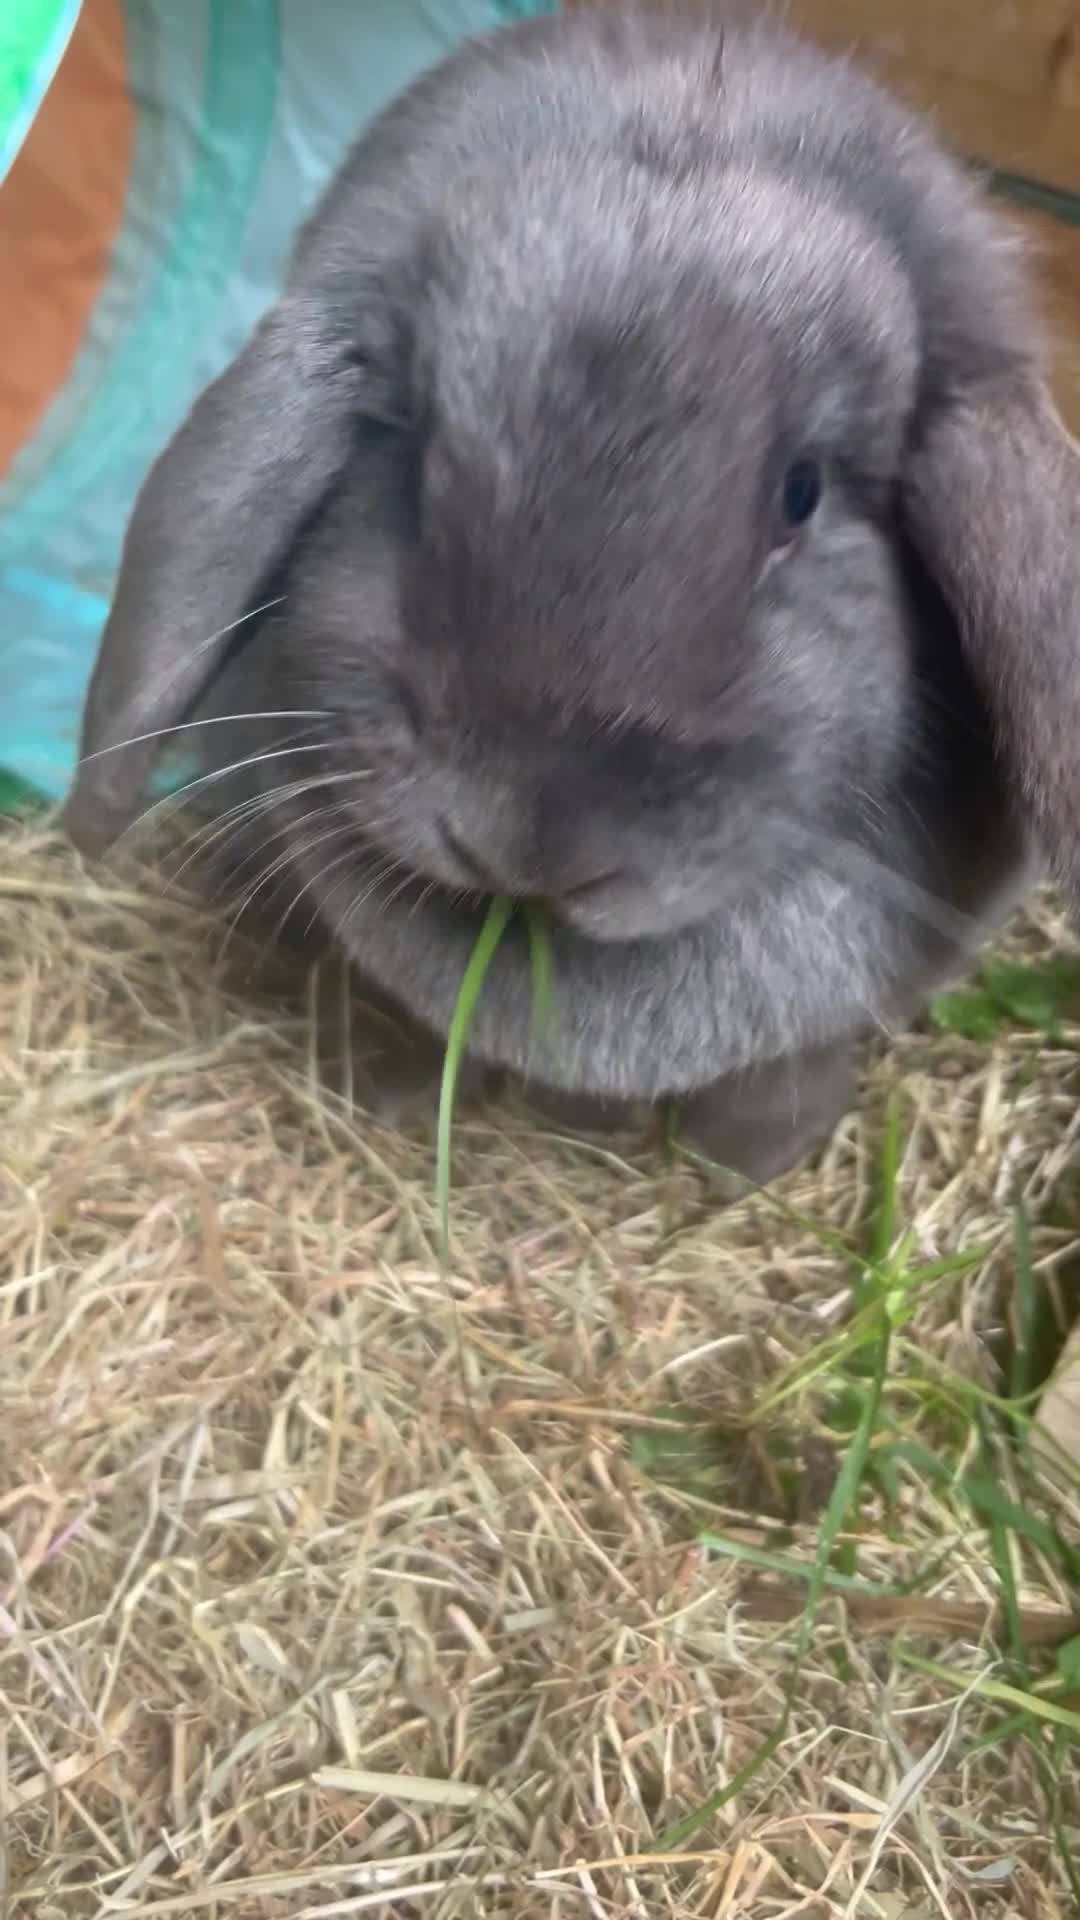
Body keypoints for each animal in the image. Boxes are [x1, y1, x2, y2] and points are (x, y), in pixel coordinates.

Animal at [63, 5, 1080, 1184]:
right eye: (411, 456)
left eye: (802, 494)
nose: (528, 841)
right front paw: (391, 1094)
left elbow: (788, 1066)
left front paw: (752, 1162)